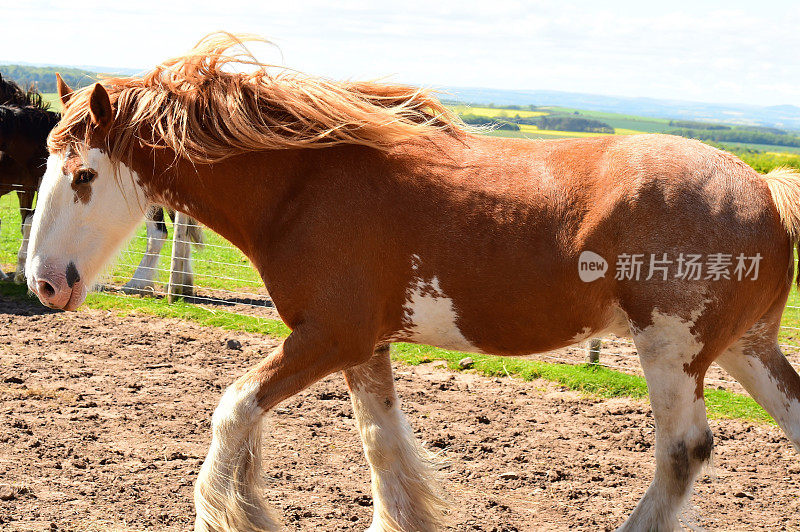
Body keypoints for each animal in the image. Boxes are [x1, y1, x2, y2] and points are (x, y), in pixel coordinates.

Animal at [23, 34, 800, 532]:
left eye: (84, 174)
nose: (44, 284)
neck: (303, 186)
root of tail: (766, 190)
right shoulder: (364, 347)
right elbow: (380, 442)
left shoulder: (327, 337)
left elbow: (234, 408)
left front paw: (237, 514)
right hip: (746, 348)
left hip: (672, 349)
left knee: (683, 451)